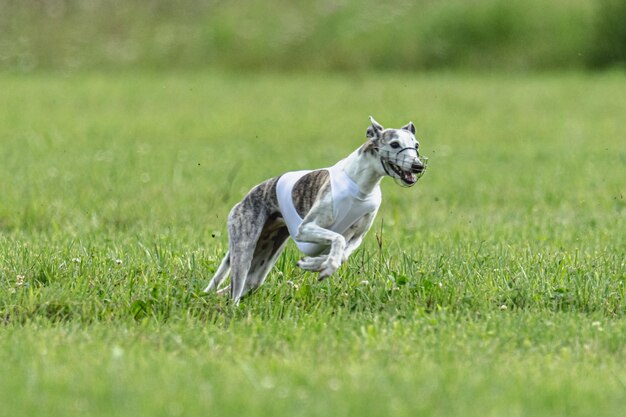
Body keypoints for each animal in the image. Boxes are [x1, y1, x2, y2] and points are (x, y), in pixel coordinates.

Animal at [204, 117, 424, 302]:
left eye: (416, 145)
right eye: (394, 144)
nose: (418, 166)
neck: (361, 183)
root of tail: (244, 199)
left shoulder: (357, 237)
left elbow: (342, 253)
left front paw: (315, 264)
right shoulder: (306, 229)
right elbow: (338, 239)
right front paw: (324, 267)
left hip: (266, 253)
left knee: (244, 285)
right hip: (245, 248)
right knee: (235, 290)